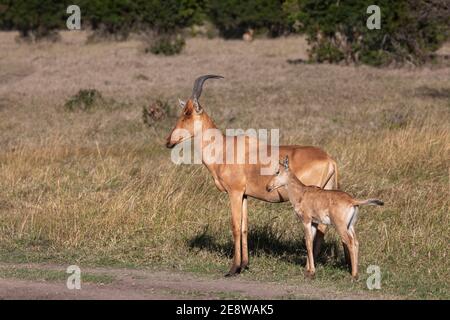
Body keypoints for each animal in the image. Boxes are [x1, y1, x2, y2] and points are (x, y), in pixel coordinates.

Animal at [166, 74, 338, 276]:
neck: (225, 148)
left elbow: (235, 226)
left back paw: (308, 268)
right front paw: (244, 264)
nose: (168, 141)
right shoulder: (244, 195)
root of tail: (329, 159)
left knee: (315, 228)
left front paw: (233, 268)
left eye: (187, 113)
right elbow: (244, 227)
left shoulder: (234, 193)